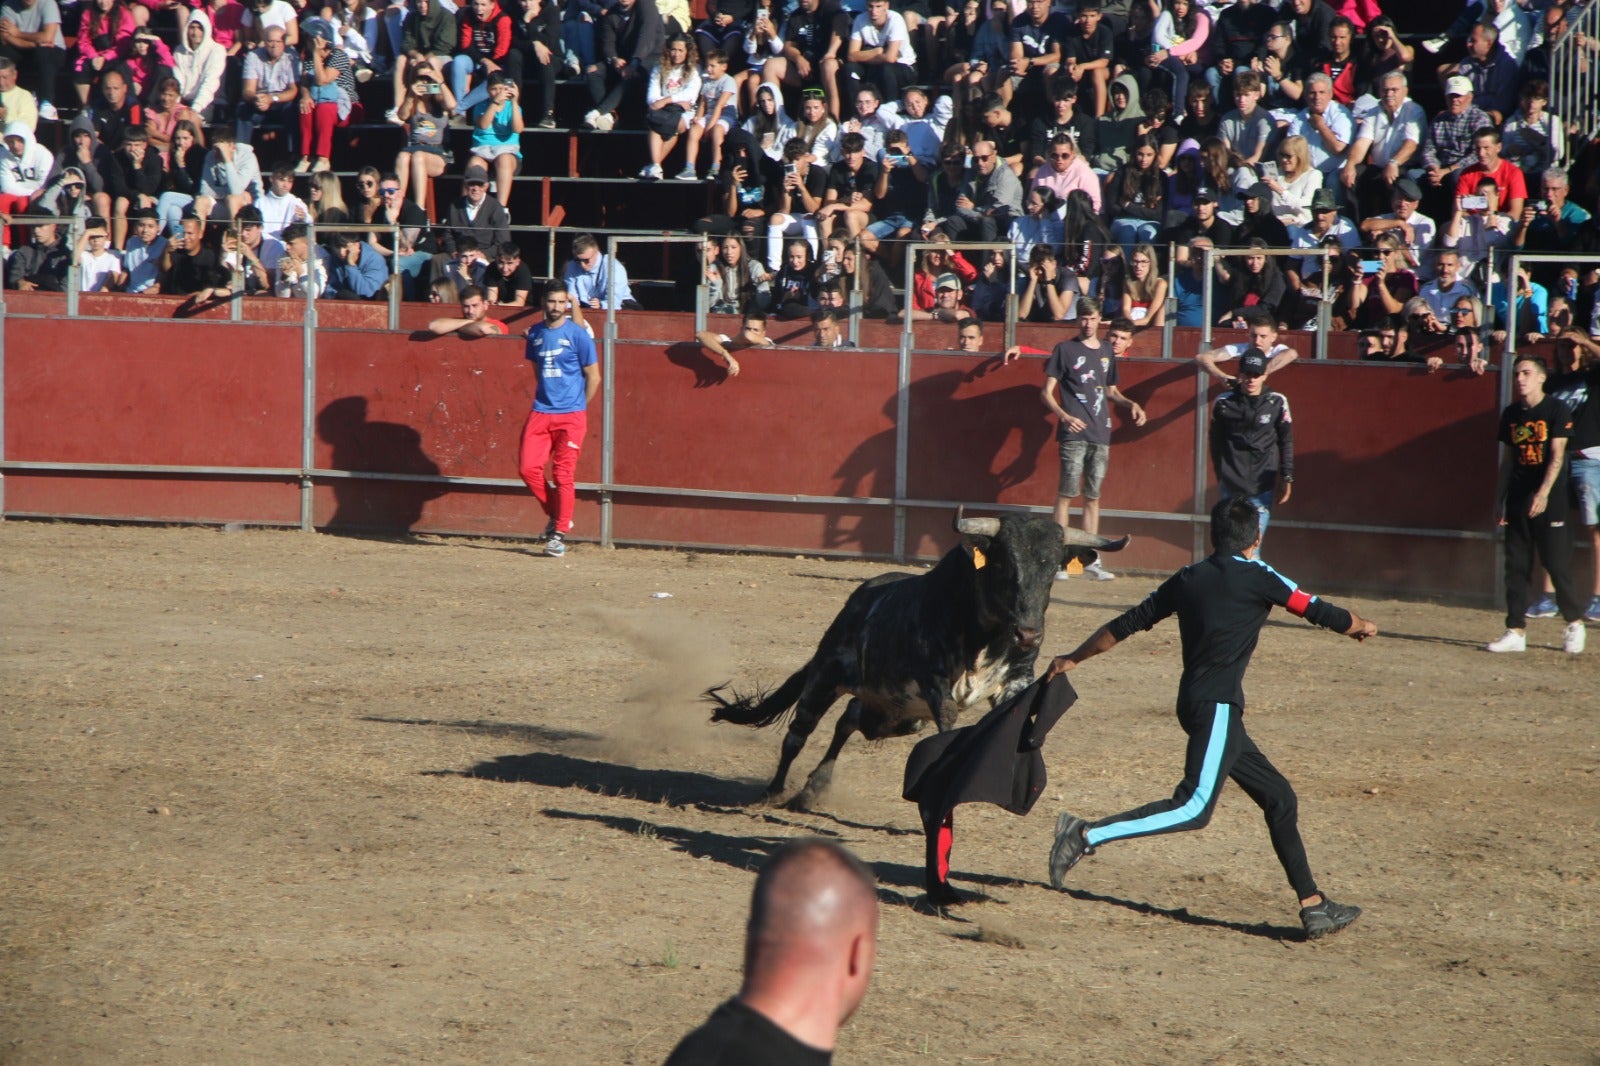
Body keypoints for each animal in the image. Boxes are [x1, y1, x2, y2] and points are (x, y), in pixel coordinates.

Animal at [707, 508, 1132, 806]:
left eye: (1052, 567)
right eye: (1003, 563)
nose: (1028, 634)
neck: (987, 633)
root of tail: (855, 603)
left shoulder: (1016, 679)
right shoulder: (936, 685)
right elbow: (949, 720)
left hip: (896, 713)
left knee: (849, 720)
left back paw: (814, 789)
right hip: (825, 679)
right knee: (798, 734)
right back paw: (773, 791)